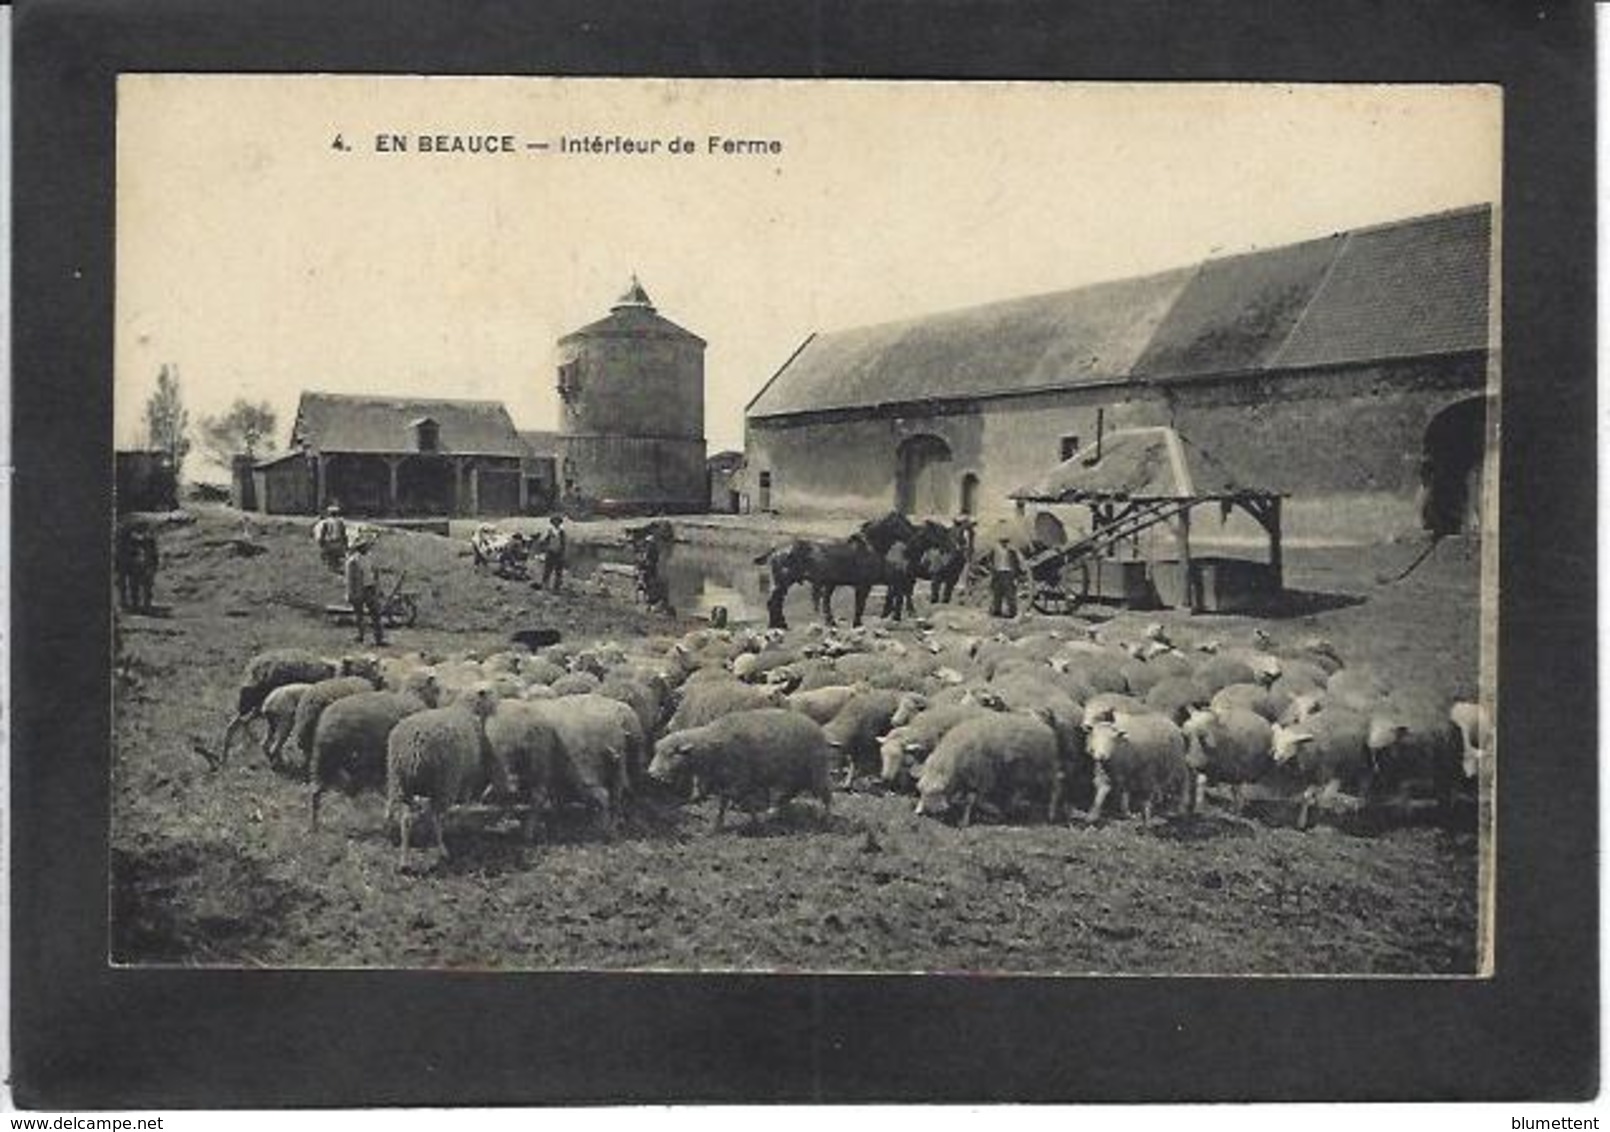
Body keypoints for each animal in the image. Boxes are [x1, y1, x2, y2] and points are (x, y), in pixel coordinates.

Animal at [383, 685, 508, 869]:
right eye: (491, 692)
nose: (498, 707)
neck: (466, 711)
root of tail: (414, 746)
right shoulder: (467, 774)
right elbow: (466, 800)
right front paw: (463, 821)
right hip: (444, 780)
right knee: (437, 817)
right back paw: (442, 850)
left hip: (399, 781)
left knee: (404, 818)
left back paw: (403, 858)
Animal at [650, 708, 837, 830]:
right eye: (657, 751)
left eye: (670, 754)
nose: (652, 773)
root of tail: (817, 727)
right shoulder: (728, 781)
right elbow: (725, 802)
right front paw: (720, 823)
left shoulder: (740, 780)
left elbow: (740, 799)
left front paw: (753, 821)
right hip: (795, 775)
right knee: (791, 792)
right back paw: (776, 811)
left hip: (816, 770)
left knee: (826, 795)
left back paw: (827, 819)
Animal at [914, 711, 1062, 830]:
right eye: (920, 790)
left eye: (936, 791)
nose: (919, 813)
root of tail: (1046, 728)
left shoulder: (982, 778)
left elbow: (972, 801)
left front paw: (970, 819)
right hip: (1021, 773)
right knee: (1020, 790)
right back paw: (1011, 808)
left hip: (1044, 769)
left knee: (1055, 787)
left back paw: (1051, 813)